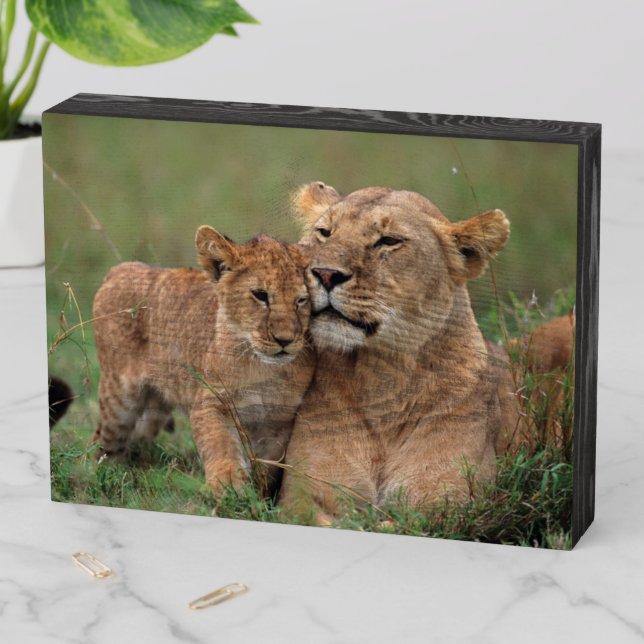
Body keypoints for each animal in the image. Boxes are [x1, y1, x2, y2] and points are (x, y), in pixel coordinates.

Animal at [92, 226, 315, 495]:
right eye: (261, 295)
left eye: (301, 300)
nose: (285, 340)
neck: (262, 368)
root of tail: (119, 269)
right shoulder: (211, 401)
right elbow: (220, 444)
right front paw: (227, 485)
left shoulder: (280, 420)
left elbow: (267, 466)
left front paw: (258, 494)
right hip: (119, 398)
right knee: (102, 441)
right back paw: (98, 476)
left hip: (156, 404)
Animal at [279, 182, 513, 522]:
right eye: (325, 232)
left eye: (388, 241)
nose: (324, 274)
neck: (384, 377)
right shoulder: (301, 497)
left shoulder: (448, 504)